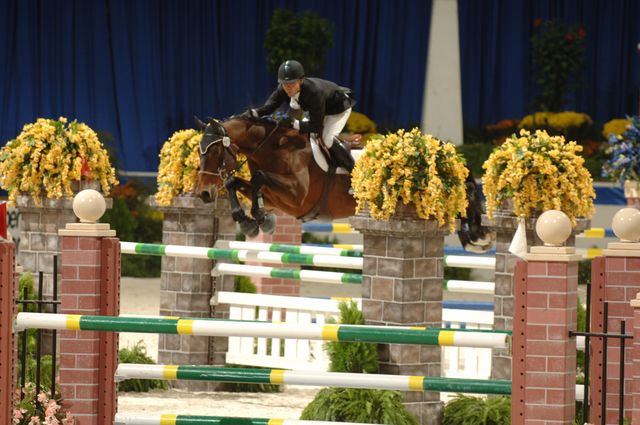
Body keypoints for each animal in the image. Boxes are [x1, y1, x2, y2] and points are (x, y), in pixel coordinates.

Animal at [195, 115, 496, 252]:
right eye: (199, 152)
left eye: (214, 151)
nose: (203, 194)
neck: (273, 147)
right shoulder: (274, 196)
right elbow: (235, 182)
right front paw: (248, 219)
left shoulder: (297, 196)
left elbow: (256, 178)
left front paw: (258, 218)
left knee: (465, 196)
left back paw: (476, 235)